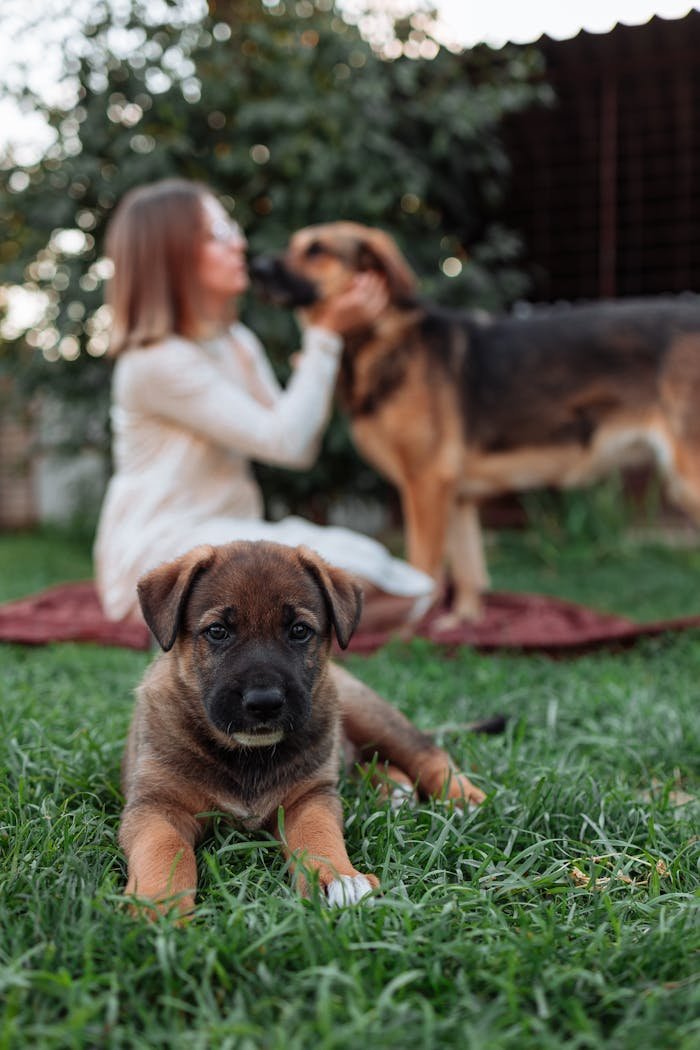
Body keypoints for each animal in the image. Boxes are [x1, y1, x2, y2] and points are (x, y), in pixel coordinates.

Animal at [119, 537, 482, 915]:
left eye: (299, 631)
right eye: (217, 631)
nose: (264, 702)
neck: (247, 756)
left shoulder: (309, 797)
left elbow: (318, 834)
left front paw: (339, 878)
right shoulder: (155, 805)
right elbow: (163, 848)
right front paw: (158, 903)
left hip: (368, 712)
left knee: (425, 751)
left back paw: (462, 798)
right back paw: (395, 790)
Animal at [250, 219, 700, 613]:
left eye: (316, 250)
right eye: (294, 245)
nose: (255, 267)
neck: (380, 335)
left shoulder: (426, 484)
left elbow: (424, 572)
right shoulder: (457, 496)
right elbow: (468, 573)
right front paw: (461, 624)